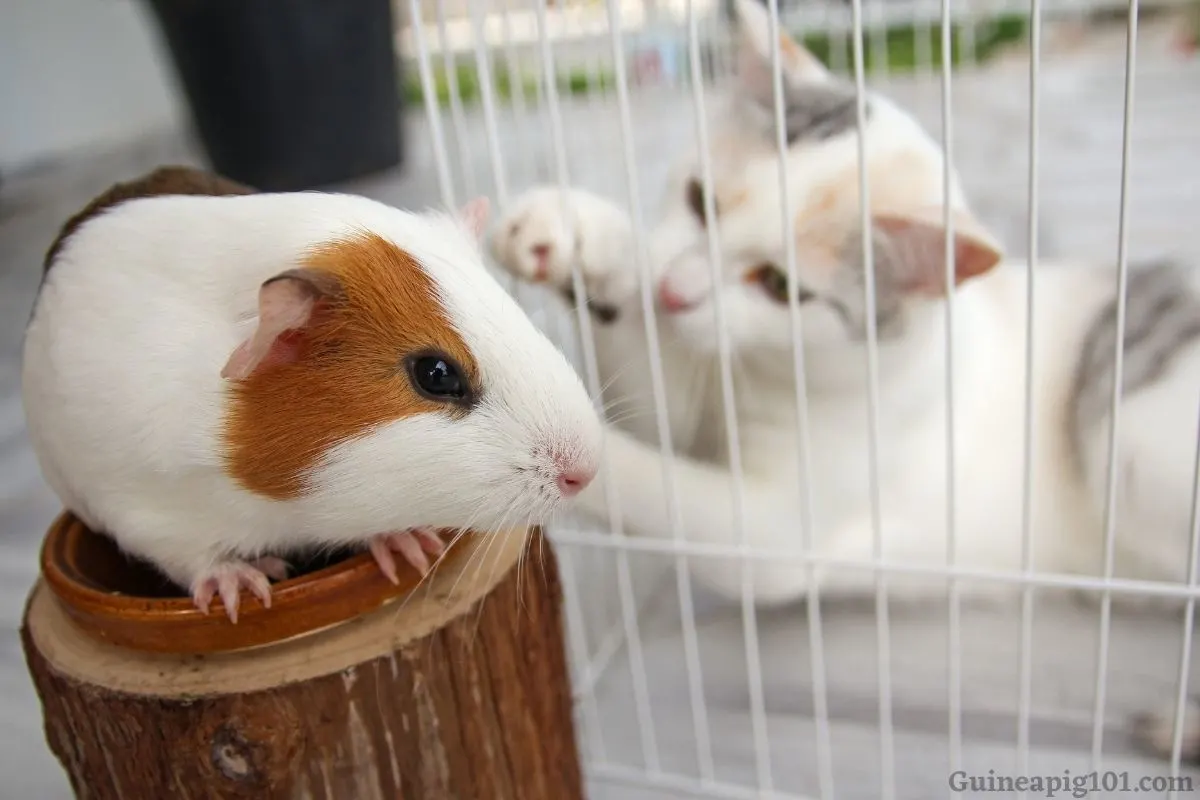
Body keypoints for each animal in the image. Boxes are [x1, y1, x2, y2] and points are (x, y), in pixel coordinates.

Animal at [487, 0, 1200, 609]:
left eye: (780, 286)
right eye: (699, 201)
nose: (674, 291)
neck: (768, 370)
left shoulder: (781, 536)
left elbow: (659, 483)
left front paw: (538, 463)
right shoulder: (692, 392)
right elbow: (651, 396)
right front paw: (581, 235)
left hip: (1128, 447)